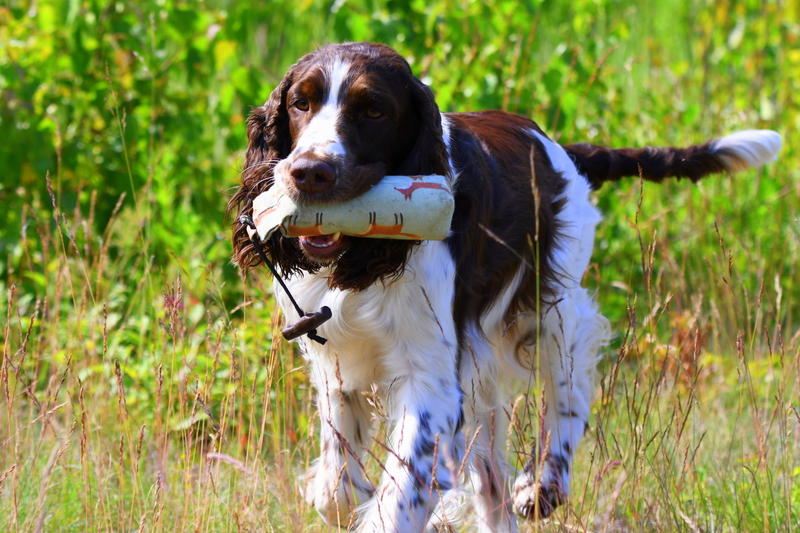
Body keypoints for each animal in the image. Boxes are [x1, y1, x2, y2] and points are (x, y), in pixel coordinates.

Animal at [228, 42, 781, 532]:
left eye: (373, 110)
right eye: (301, 103)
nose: (308, 172)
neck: (361, 260)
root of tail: (560, 149)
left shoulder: (431, 378)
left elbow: (399, 495)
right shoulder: (336, 360)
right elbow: (336, 484)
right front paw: (340, 493)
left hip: (553, 306)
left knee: (569, 393)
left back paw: (543, 486)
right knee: (491, 478)